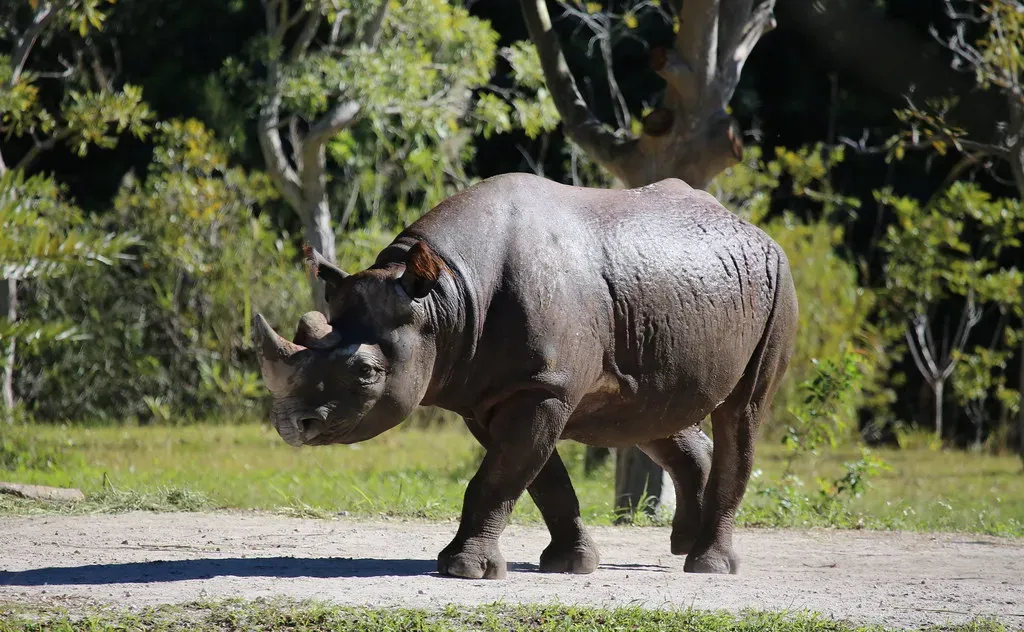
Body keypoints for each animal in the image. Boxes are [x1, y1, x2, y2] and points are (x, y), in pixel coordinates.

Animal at [253, 173, 798, 579]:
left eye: (367, 372)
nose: (290, 424)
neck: (445, 297)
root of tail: (753, 229)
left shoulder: (542, 386)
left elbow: (501, 474)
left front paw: (464, 570)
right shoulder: (489, 392)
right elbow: (539, 477)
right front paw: (572, 564)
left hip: (779, 283)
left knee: (742, 411)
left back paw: (709, 565)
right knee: (652, 413)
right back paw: (683, 544)